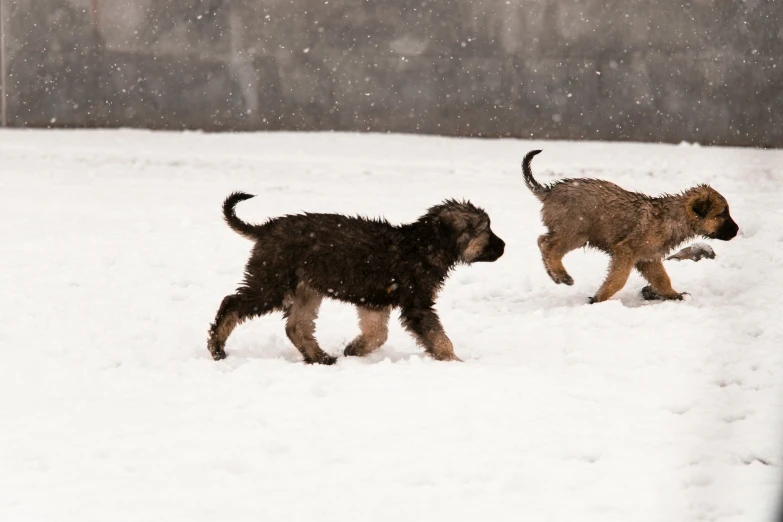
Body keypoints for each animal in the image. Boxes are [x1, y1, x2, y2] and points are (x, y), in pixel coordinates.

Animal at [205, 191, 506, 362]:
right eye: (485, 229)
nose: (504, 246)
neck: (424, 245)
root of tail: (266, 228)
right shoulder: (417, 304)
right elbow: (439, 338)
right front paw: (455, 362)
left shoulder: (374, 300)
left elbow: (377, 334)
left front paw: (353, 350)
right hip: (273, 282)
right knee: (231, 303)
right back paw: (217, 348)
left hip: (306, 290)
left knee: (296, 327)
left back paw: (321, 358)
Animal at [524, 148, 740, 302]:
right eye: (722, 213)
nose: (737, 231)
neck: (674, 218)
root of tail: (549, 191)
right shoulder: (626, 251)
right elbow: (618, 279)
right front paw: (599, 298)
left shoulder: (648, 258)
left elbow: (662, 279)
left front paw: (674, 295)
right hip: (576, 231)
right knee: (547, 244)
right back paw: (561, 275)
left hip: (572, 233)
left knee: (543, 241)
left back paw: (555, 275)